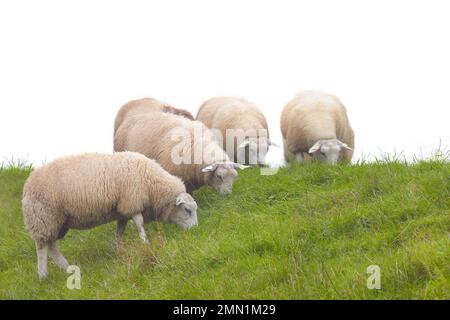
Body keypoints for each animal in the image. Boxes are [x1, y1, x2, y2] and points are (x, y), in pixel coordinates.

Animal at [21, 151, 197, 278]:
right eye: (187, 210)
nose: (195, 230)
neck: (151, 183)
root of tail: (27, 186)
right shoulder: (132, 202)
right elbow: (140, 226)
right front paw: (146, 244)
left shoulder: (123, 210)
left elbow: (119, 232)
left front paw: (118, 250)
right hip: (43, 218)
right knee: (42, 248)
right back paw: (43, 275)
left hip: (57, 222)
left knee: (52, 247)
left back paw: (67, 268)